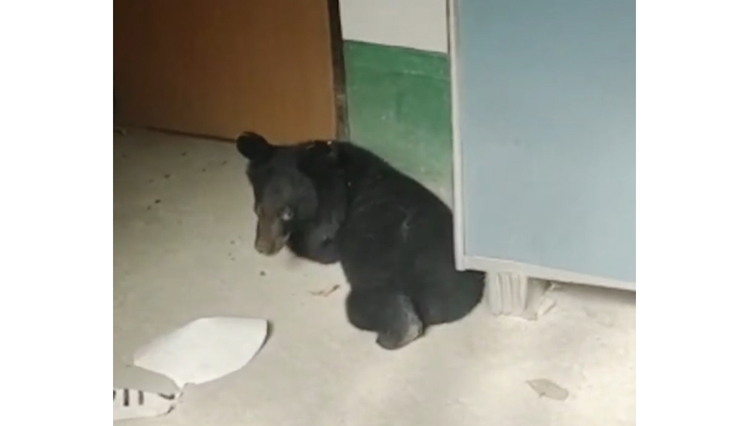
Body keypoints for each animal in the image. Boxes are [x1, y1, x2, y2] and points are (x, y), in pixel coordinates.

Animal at [236, 132, 486, 350]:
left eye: (286, 213)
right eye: (258, 209)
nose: (262, 247)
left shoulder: (333, 215)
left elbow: (320, 247)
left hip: (387, 273)